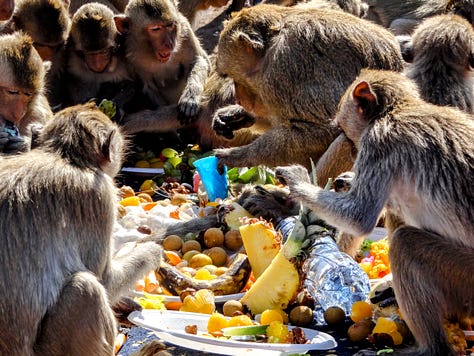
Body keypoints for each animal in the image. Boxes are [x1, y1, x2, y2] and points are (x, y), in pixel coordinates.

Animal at [115, 0, 211, 129]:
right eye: (156, 29)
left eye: (170, 25)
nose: (170, 43)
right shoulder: (128, 51)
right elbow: (148, 87)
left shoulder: (185, 31)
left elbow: (200, 61)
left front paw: (190, 98)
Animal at [211, 5, 404, 172]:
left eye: (232, 76)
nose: (239, 98)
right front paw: (234, 115)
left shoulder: (284, 70)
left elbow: (327, 129)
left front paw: (241, 156)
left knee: (345, 140)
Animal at [274, 68, 474, 354]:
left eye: (345, 130)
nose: (351, 150)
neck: (398, 110)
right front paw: (346, 180)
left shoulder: (379, 144)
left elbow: (360, 217)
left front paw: (297, 180)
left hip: (464, 277)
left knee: (405, 242)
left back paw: (430, 348)